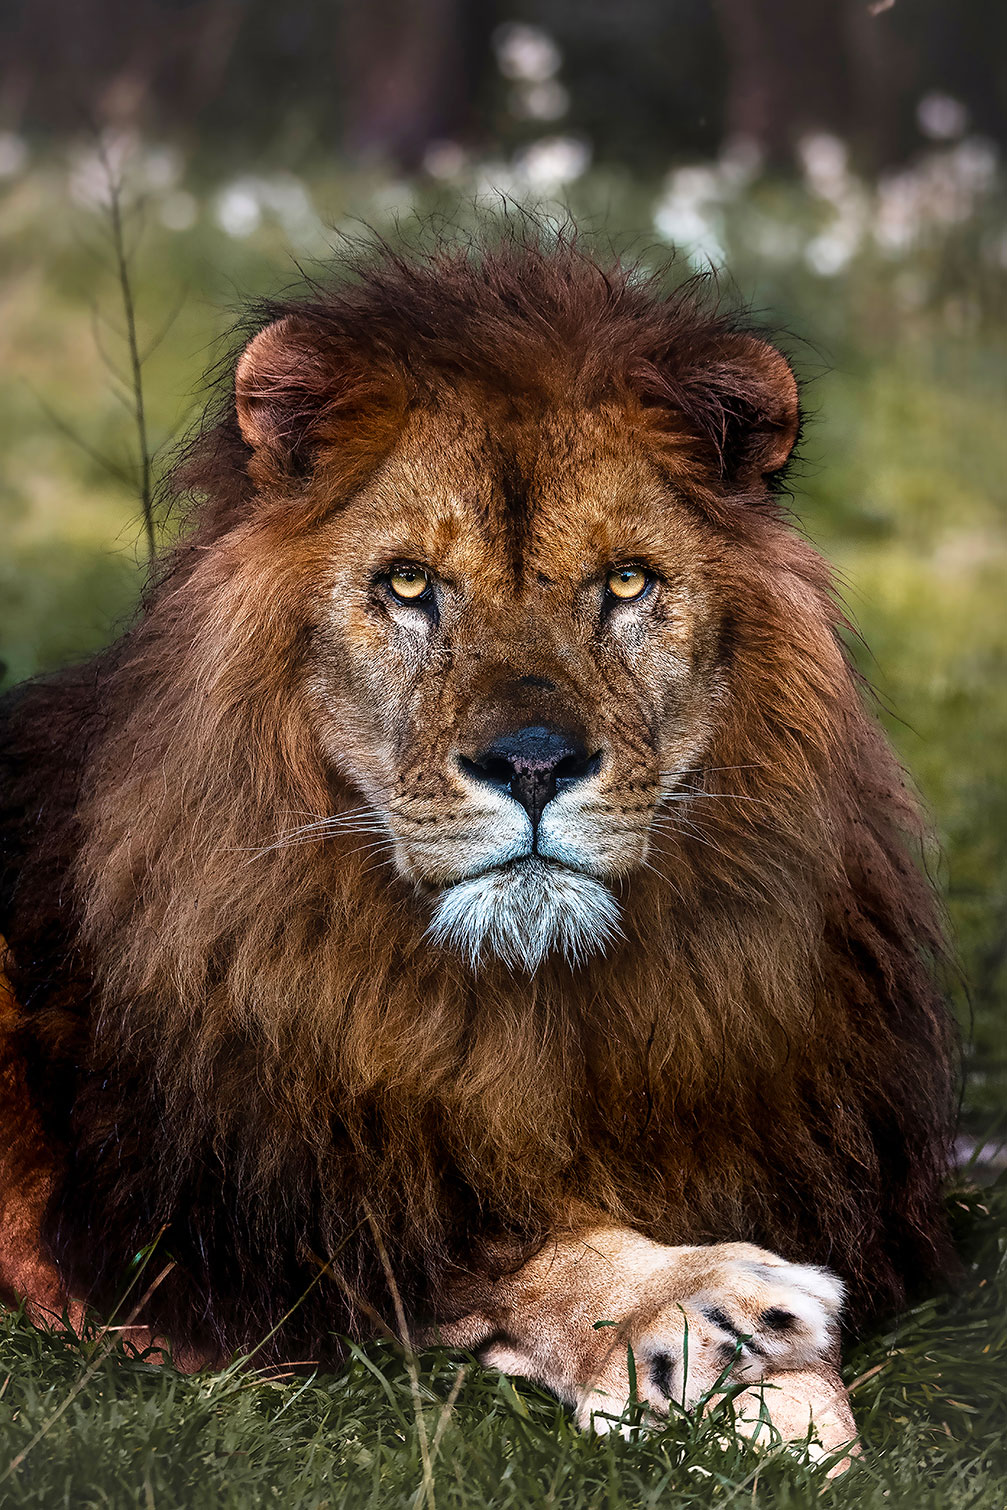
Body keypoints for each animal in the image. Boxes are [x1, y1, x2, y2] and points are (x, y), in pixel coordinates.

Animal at [0, 234, 957, 1453]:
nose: (534, 763)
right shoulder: (197, 1229)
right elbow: (494, 1249)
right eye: (409, 583)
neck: (530, 1003)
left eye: (625, 581)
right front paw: (701, 1317)